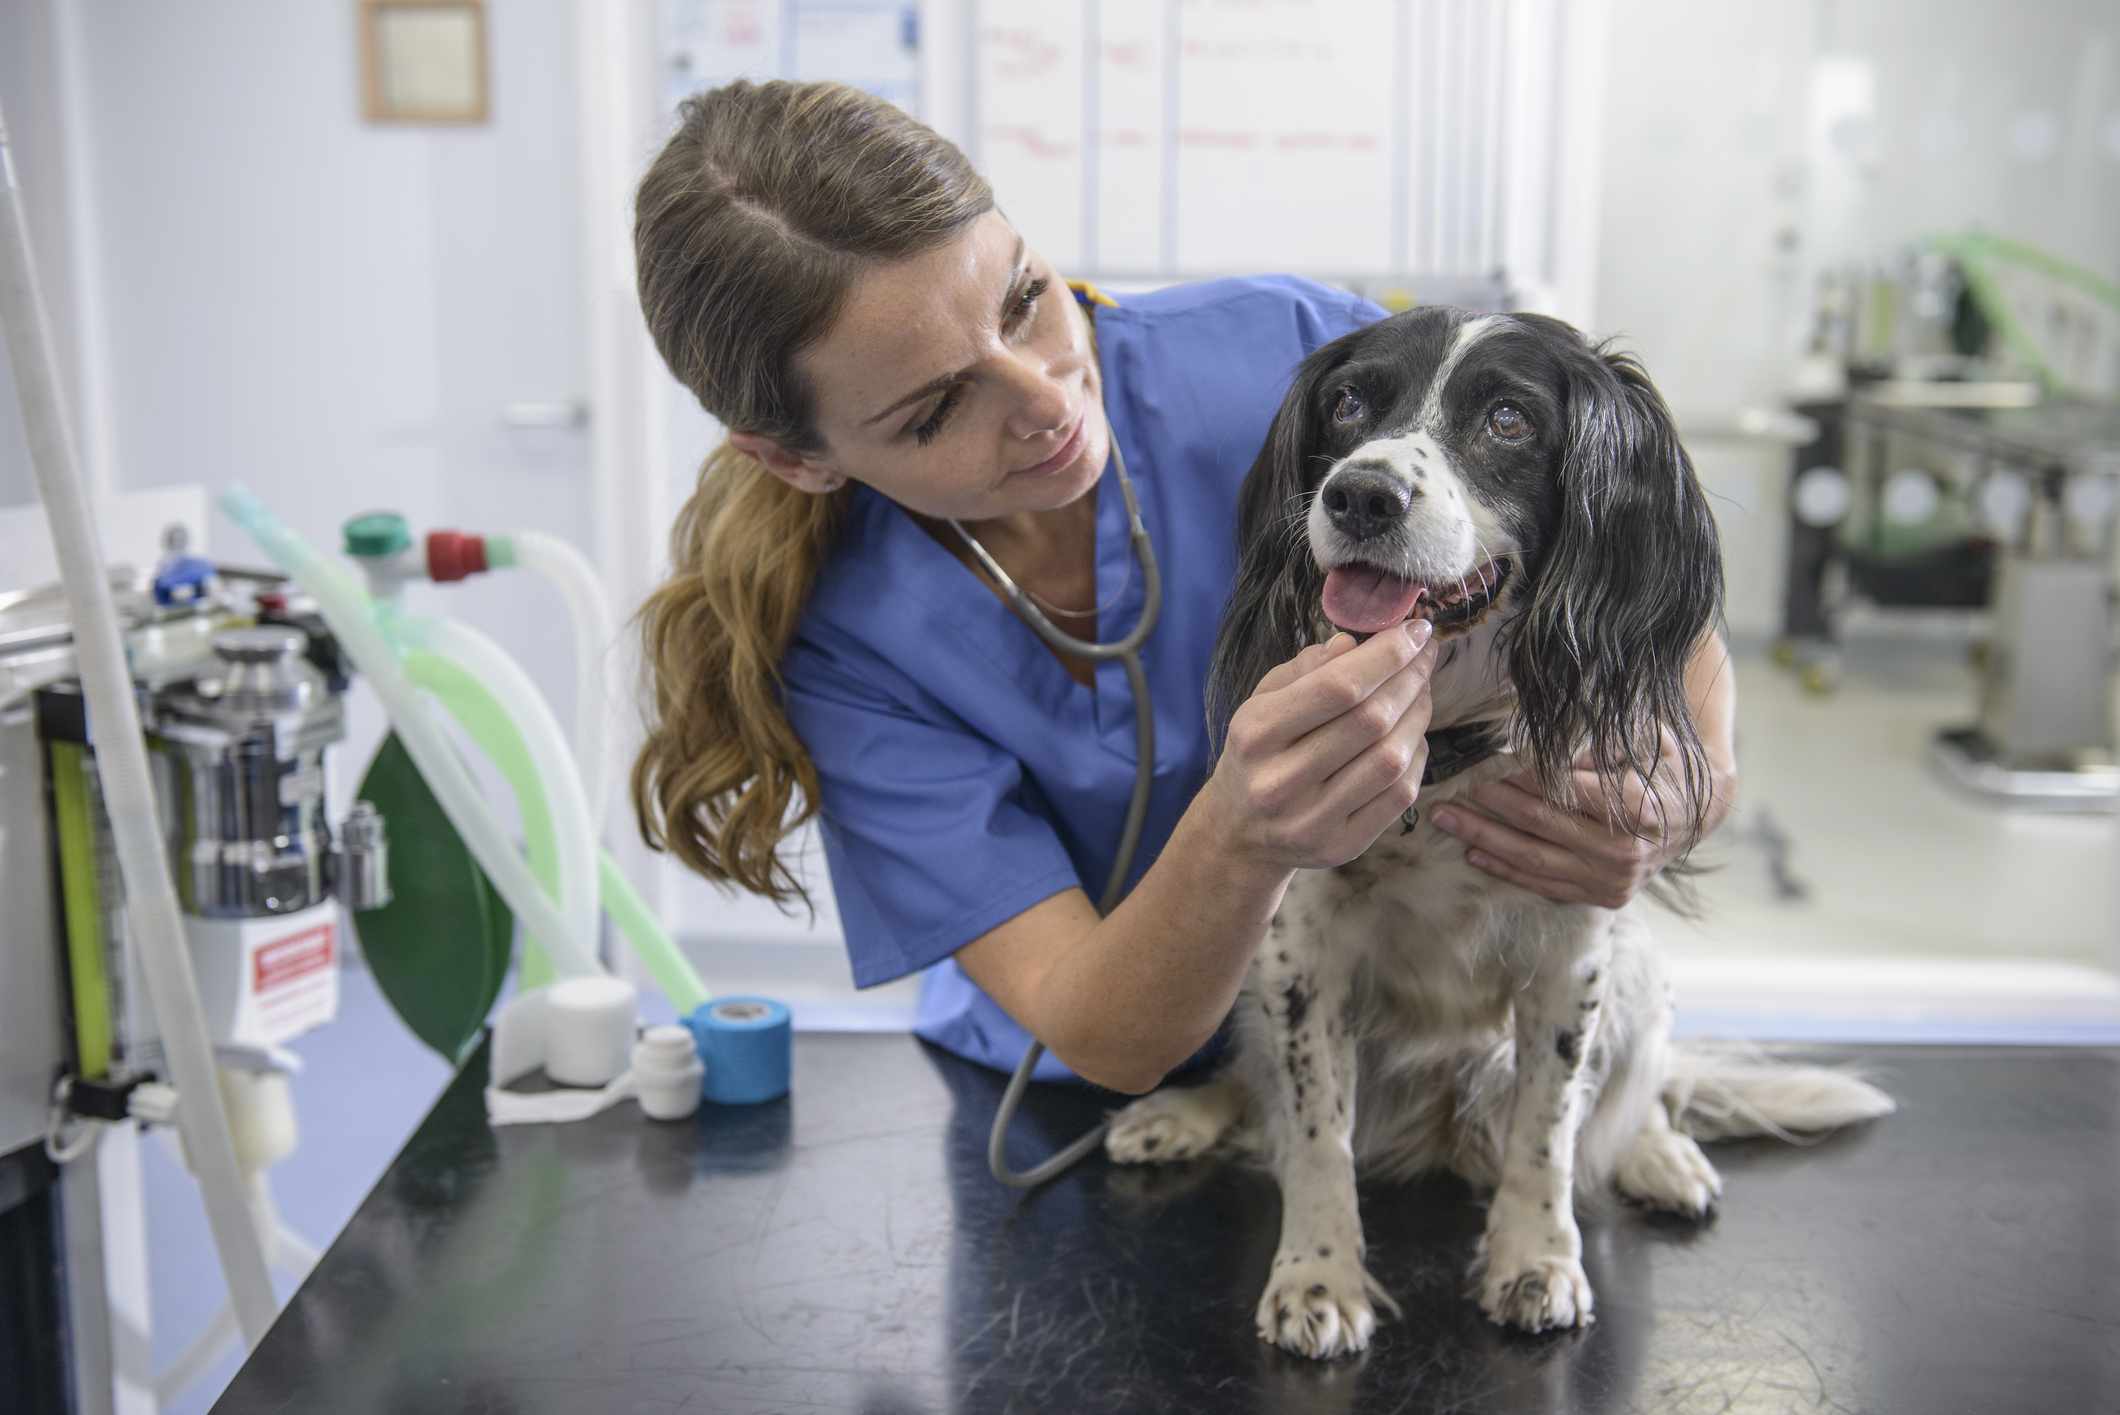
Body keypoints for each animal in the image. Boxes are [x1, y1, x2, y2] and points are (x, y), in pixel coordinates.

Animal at [1110, 311, 1891, 1357]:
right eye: (1348, 402)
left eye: (1510, 419)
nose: (1360, 493)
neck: (1445, 746)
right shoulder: (1301, 952)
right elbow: (1315, 1135)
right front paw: (1318, 1274)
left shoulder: (1573, 955)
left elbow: (1546, 1134)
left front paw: (1535, 1259)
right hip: (1252, 977)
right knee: (1258, 1088)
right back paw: (1182, 1113)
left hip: (1637, 969)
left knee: (1644, 1090)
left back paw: (1661, 1156)